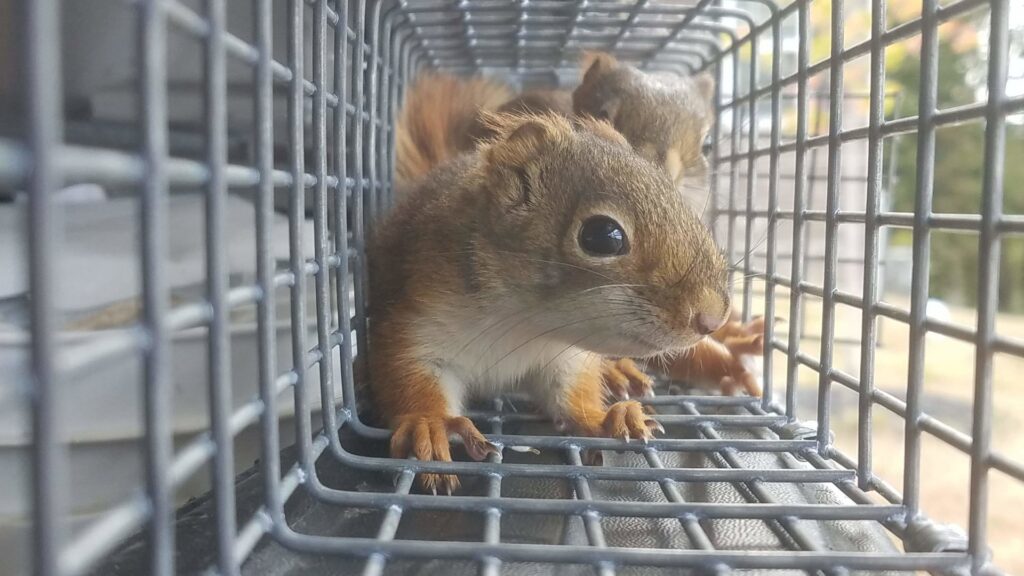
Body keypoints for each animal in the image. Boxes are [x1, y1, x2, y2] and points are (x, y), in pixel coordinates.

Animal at [375, 87, 731, 492]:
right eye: (602, 236)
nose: (713, 318)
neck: (523, 325)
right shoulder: (416, 324)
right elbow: (410, 375)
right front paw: (430, 424)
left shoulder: (563, 357)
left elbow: (571, 395)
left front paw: (604, 418)